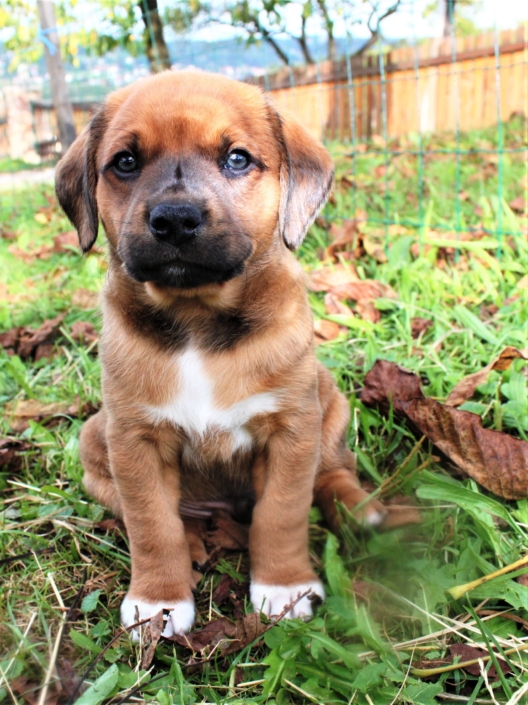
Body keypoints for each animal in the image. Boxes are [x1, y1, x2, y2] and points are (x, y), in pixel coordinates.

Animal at [55, 71, 382, 640]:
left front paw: (283, 586)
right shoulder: (133, 440)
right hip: (95, 436)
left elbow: (282, 512)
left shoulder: (292, 430)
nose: (175, 218)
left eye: (236, 159)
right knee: (160, 514)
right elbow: (151, 524)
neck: (197, 321)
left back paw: (359, 509)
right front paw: (158, 600)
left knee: (331, 472)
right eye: (125, 162)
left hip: (330, 403)